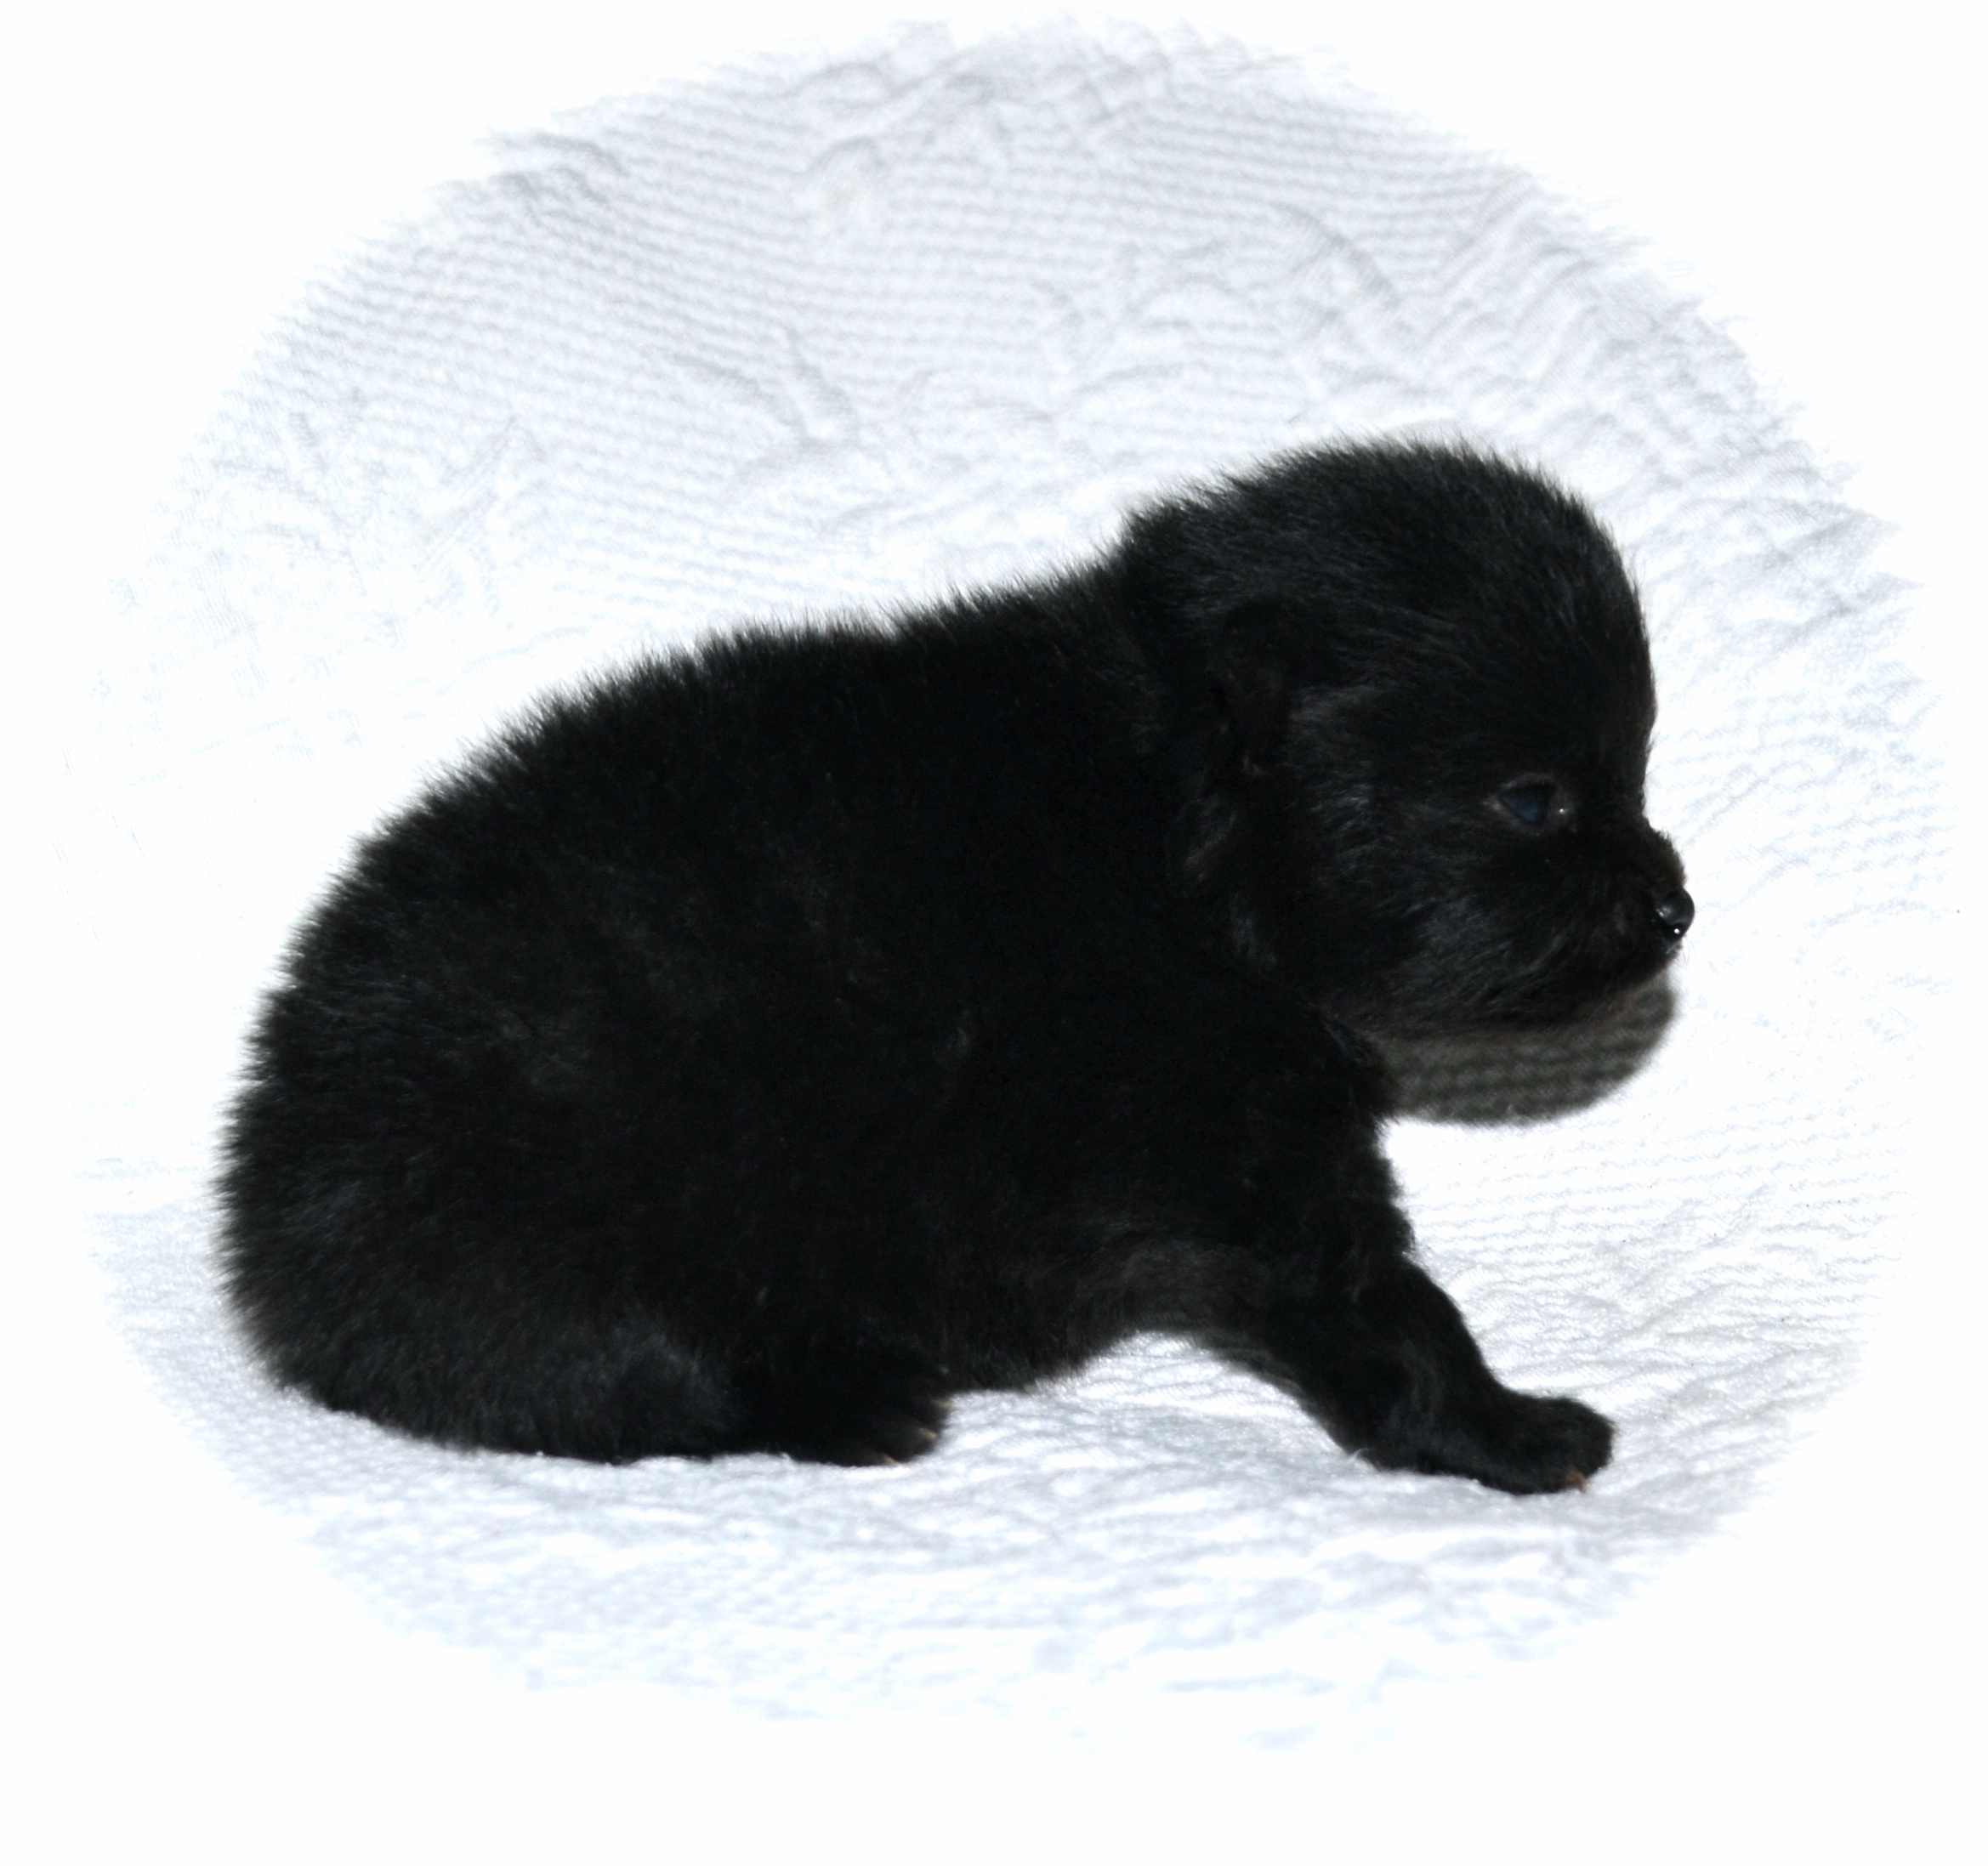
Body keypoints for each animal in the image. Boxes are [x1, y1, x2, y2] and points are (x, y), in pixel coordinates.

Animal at [220, 441, 1691, 1494]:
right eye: (1533, 801)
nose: (1676, 906)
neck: (1177, 842)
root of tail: (267, 1202)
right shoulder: (1246, 1149)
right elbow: (1384, 1303)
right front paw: (1505, 1428)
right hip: (566, 1234)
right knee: (619, 1375)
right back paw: (852, 1398)